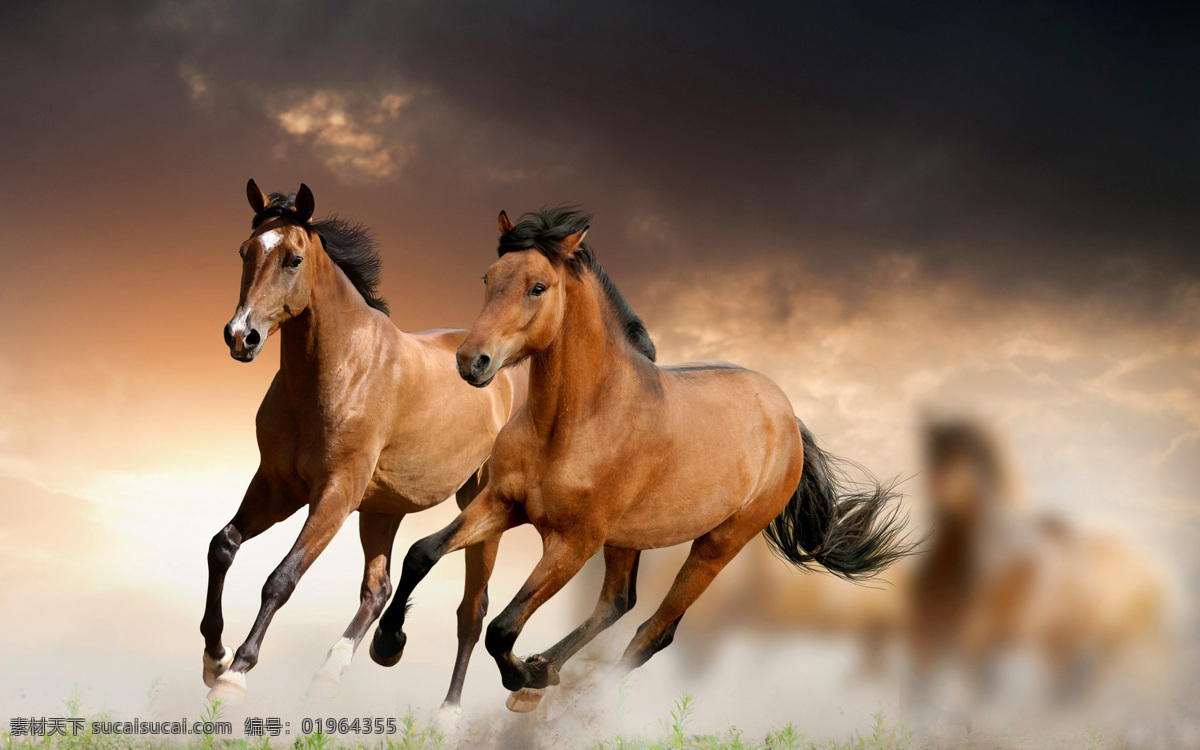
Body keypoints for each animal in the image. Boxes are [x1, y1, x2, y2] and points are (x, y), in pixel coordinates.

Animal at [201, 181, 525, 718]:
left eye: (293, 259)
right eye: (246, 252)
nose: (240, 336)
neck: (339, 369)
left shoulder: (335, 494)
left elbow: (281, 578)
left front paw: (236, 675)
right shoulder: (277, 486)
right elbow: (222, 545)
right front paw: (214, 655)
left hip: (479, 507)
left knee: (471, 612)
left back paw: (448, 712)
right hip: (382, 509)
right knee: (379, 590)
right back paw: (336, 671)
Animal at [368, 206, 916, 713]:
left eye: (538, 287)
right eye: (489, 278)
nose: (471, 362)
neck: (573, 422)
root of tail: (787, 416)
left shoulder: (573, 543)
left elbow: (502, 628)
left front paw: (523, 676)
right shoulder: (503, 503)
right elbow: (422, 553)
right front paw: (387, 645)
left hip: (717, 544)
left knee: (654, 632)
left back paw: (565, 698)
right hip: (626, 538)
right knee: (618, 602)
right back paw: (546, 671)